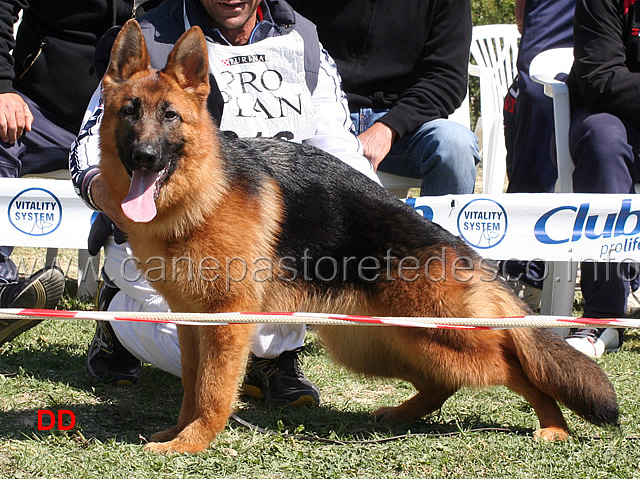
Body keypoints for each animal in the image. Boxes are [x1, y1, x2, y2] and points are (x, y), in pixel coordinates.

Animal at [100, 19, 620, 454]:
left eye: (170, 116)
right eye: (130, 112)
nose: (145, 156)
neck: (202, 192)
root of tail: (458, 247)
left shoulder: (227, 325)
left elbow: (210, 393)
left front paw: (191, 444)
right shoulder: (193, 324)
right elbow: (192, 388)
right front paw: (178, 432)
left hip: (439, 339)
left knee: (516, 365)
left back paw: (553, 425)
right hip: (380, 344)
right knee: (445, 381)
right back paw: (404, 414)